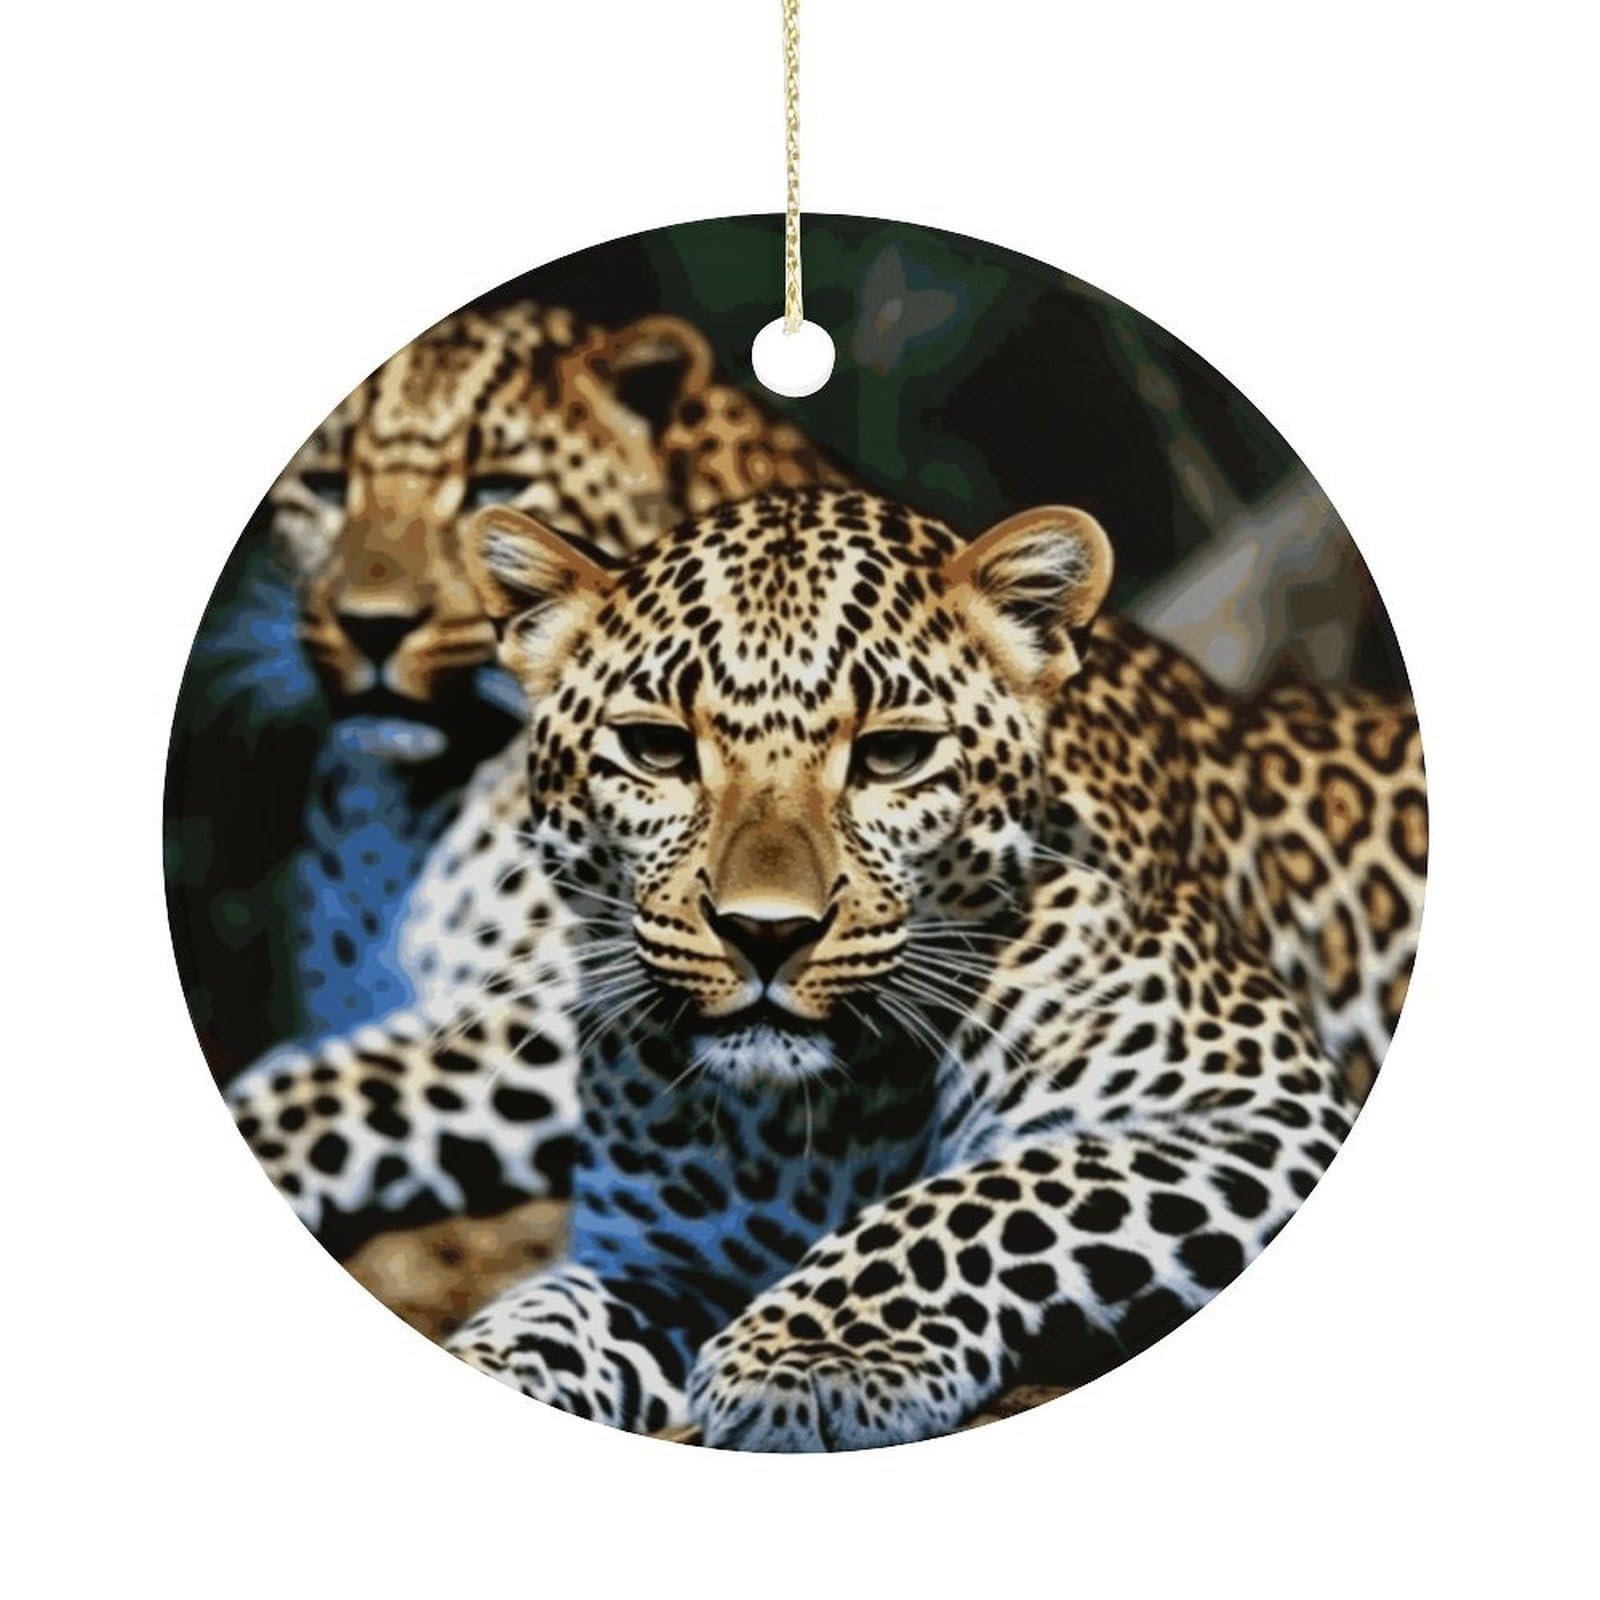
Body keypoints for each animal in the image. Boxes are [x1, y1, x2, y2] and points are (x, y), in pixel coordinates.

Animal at [265, 482, 1421, 1448]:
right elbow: (549, 1309)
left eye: (892, 755)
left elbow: (987, 1191)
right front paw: (492, 1363)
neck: (813, 1125)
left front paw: (810, 1355)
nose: (764, 932)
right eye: (656, 749)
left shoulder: (1263, 1111)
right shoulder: (658, 1255)